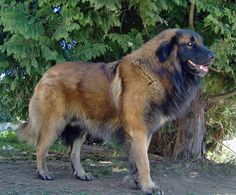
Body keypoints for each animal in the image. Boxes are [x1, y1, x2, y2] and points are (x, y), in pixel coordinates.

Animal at [17, 28, 215, 193]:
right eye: (190, 44)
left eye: (200, 42)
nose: (213, 55)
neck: (156, 71)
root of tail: (46, 74)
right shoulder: (139, 130)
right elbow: (145, 162)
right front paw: (148, 186)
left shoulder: (145, 132)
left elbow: (138, 159)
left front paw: (137, 182)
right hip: (54, 123)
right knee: (41, 147)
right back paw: (43, 172)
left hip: (81, 126)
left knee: (73, 153)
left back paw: (81, 174)